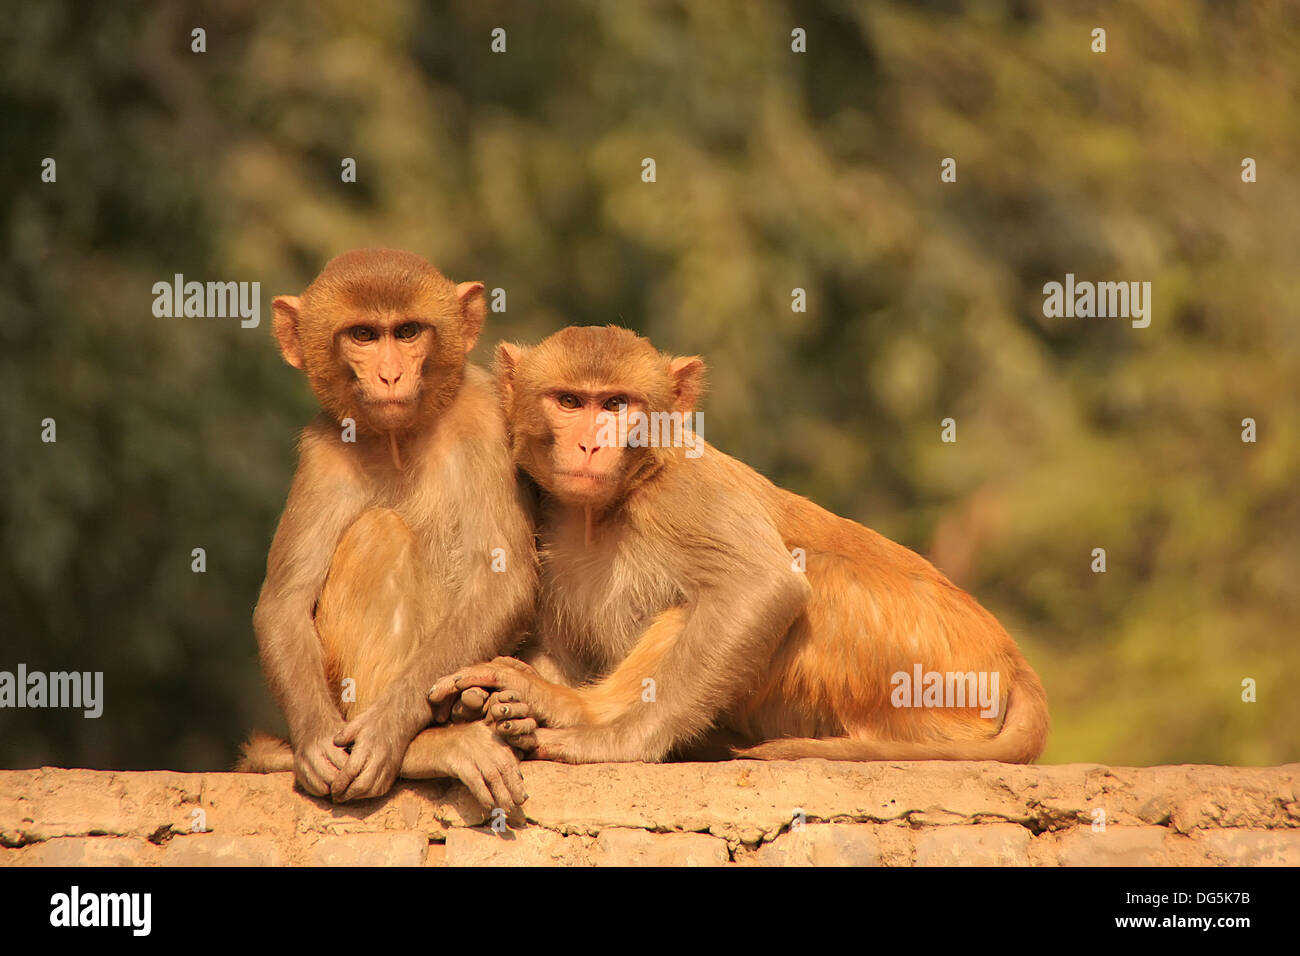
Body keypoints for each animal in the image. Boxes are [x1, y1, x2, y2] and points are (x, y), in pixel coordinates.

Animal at [236, 251, 535, 811]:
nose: (391, 375)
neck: (401, 438)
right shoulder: (324, 452)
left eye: (408, 331)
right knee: (379, 533)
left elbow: (502, 579)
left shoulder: (485, 416)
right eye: (364, 335)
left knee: (379, 532)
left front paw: (384, 734)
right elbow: (285, 601)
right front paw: (315, 742)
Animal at [431, 325, 1050, 764]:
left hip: (911, 678)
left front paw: (612, 740)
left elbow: (763, 587)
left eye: (615, 405)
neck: (601, 511)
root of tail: (1011, 660)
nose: (589, 445)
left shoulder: (685, 490)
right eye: (568, 402)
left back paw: (576, 710)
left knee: (801, 578)